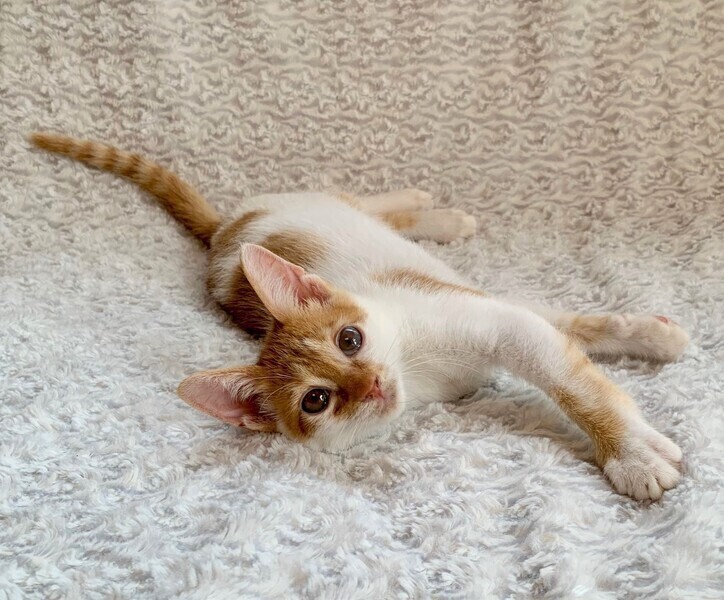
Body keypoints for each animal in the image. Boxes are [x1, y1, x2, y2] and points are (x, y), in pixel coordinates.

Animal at [30, 132, 689, 500]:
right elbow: (561, 333)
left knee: (356, 198)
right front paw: (636, 417)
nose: (370, 383)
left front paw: (631, 440)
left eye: (349, 339)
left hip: (310, 203)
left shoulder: (487, 316)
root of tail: (224, 232)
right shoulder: (489, 312)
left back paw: (428, 208)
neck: (418, 366)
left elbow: (572, 367)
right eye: (317, 401)